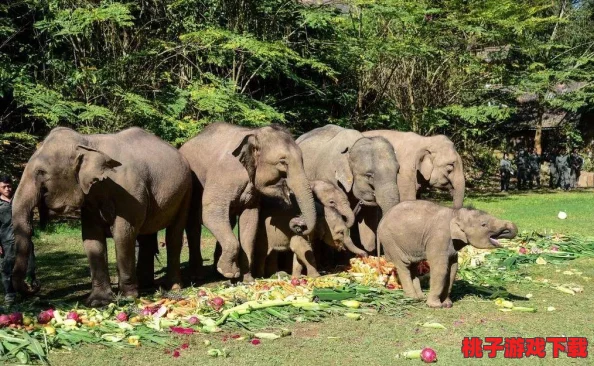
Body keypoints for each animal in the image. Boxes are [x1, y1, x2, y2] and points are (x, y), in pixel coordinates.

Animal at [11, 127, 191, 304]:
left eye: (41, 172)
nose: (34, 285)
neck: (88, 142)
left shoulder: (130, 193)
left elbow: (123, 235)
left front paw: (127, 297)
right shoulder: (90, 198)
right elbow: (91, 238)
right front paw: (98, 301)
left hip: (186, 192)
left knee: (173, 236)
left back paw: (173, 287)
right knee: (146, 238)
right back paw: (145, 285)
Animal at [180, 122, 316, 280]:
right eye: (282, 162)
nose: (299, 225)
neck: (254, 133)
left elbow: (250, 221)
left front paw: (246, 279)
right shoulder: (222, 176)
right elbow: (210, 214)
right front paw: (230, 272)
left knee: (228, 221)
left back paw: (217, 272)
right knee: (194, 225)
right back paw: (198, 275)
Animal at [376, 200, 516, 308]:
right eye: (484, 225)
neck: (455, 213)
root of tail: (380, 222)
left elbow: (453, 269)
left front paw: (448, 304)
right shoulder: (438, 238)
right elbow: (441, 270)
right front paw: (435, 306)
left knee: (413, 267)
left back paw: (420, 297)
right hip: (391, 242)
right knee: (403, 266)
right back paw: (413, 299)